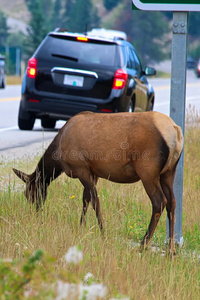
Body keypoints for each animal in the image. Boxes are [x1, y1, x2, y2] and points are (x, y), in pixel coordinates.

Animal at [13, 111, 184, 254]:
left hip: (148, 170)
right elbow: (86, 199)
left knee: (159, 202)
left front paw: (103, 232)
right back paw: (171, 249)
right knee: (172, 202)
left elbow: (95, 201)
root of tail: (176, 132)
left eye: (29, 193)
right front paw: (81, 227)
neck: (58, 156)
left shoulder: (81, 168)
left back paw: (144, 244)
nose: (35, 213)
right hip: (169, 171)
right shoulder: (92, 172)